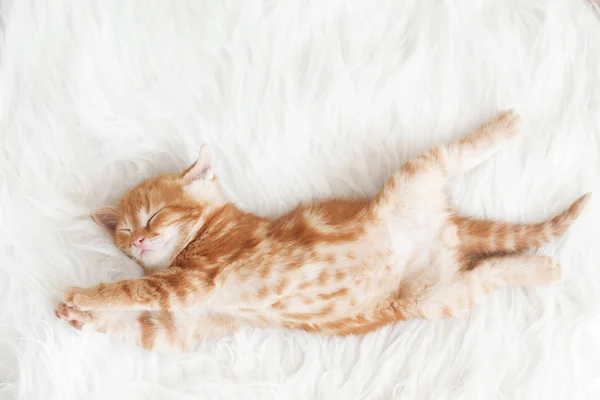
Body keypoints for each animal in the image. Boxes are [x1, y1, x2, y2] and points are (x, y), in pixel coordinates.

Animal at [55, 109, 592, 350]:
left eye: (154, 217)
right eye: (123, 232)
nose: (139, 240)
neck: (203, 232)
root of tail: (447, 230)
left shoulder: (194, 279)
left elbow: (135, 288)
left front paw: (86, 296)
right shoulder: (191, 321)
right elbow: (145, 321)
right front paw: (82, 317)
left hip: (411, 183)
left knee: (446, 155)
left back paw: (502, 128)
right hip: (435, 297)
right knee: (492, 274)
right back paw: (542, 269)